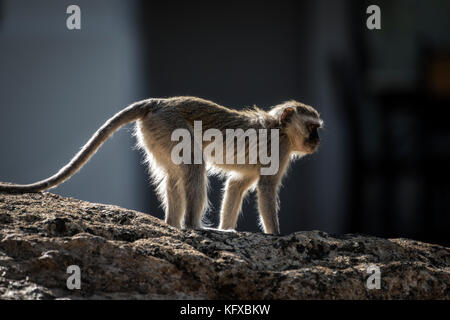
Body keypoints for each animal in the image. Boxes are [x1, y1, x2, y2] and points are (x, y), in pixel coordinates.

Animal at [0, 96, 324, 234]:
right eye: (312, 128)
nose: (318, 141)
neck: (280, 129)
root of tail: (156, 103)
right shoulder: (278, 149)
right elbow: (266, 189)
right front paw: (276, 237)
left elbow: (236, 185)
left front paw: (228, 227)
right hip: (169, 125)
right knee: (193, 167)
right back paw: (193, 226)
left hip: (156, 134)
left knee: (175, 174)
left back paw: (173, 225)